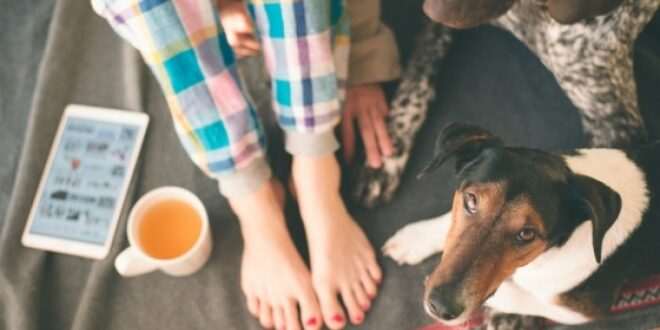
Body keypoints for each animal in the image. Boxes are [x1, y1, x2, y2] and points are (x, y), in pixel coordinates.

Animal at [382, 123, 660, 328]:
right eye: (471, 200)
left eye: (527, 234)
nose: (439, 307)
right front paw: (414, 239)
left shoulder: (580, 311)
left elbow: (516, 296)